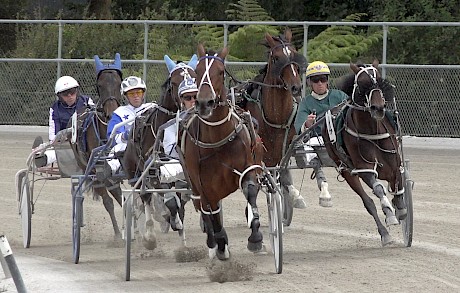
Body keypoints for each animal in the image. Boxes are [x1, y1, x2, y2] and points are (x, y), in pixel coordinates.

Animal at [70, 53, 124, 238]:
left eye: (119, 83)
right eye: (100, 85)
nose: (111, 112)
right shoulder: (96, 169)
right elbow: (108, 201)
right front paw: (118, 234)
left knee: (117, 192)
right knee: (109, 197)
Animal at [124, 54, 198, 249]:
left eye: (195, 76)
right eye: (175, 81)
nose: (191, 96)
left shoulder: (181, 171)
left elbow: (179, 201)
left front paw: (181, 234)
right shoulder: (155, 172)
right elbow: (169, 201)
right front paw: (170, 221)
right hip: (137, 172)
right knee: (145, 197)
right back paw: (149, 234)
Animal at [181, 43, 264, 258]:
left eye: (220, 71)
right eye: (197, 71)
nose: (204, 102)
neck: (217, 139)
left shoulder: (247, 167)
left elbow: (250, 190)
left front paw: (255, 238)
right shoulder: (203, 183)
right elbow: (211, 210)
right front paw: (220, 243)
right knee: (204, 207)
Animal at [243, 28, 308, 212]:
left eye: (293, 54)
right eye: (276, 58)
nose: (296, 87)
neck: (276, 116)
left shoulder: (282, 151)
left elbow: (283, 176)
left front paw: (294, 197)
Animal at [324, 62, 406, 245]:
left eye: (379, 80)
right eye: (362, 84)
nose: (378, 108)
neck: (371, 130)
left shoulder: (395, 164)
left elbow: (398, 185)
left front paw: (400, 208)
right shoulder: (364, 168)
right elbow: (378, 189)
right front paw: (389, 213)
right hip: (346, 171)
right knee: (368, 202)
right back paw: (385, 234)